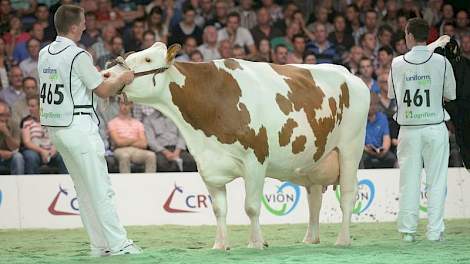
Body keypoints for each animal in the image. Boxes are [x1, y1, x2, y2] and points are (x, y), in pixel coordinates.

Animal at [105, 42, 370, 249]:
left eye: (148, 58)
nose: (107, 74)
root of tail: (349, 74)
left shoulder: (256, 160)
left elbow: (251, 207)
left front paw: (256, 243)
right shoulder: (208, 166)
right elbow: (219, 209)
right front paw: (220, 245)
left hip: (350, 148)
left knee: (348, 194)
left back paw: (343, 240)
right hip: (313, 161)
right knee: (314, 199)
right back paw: (310, 239)